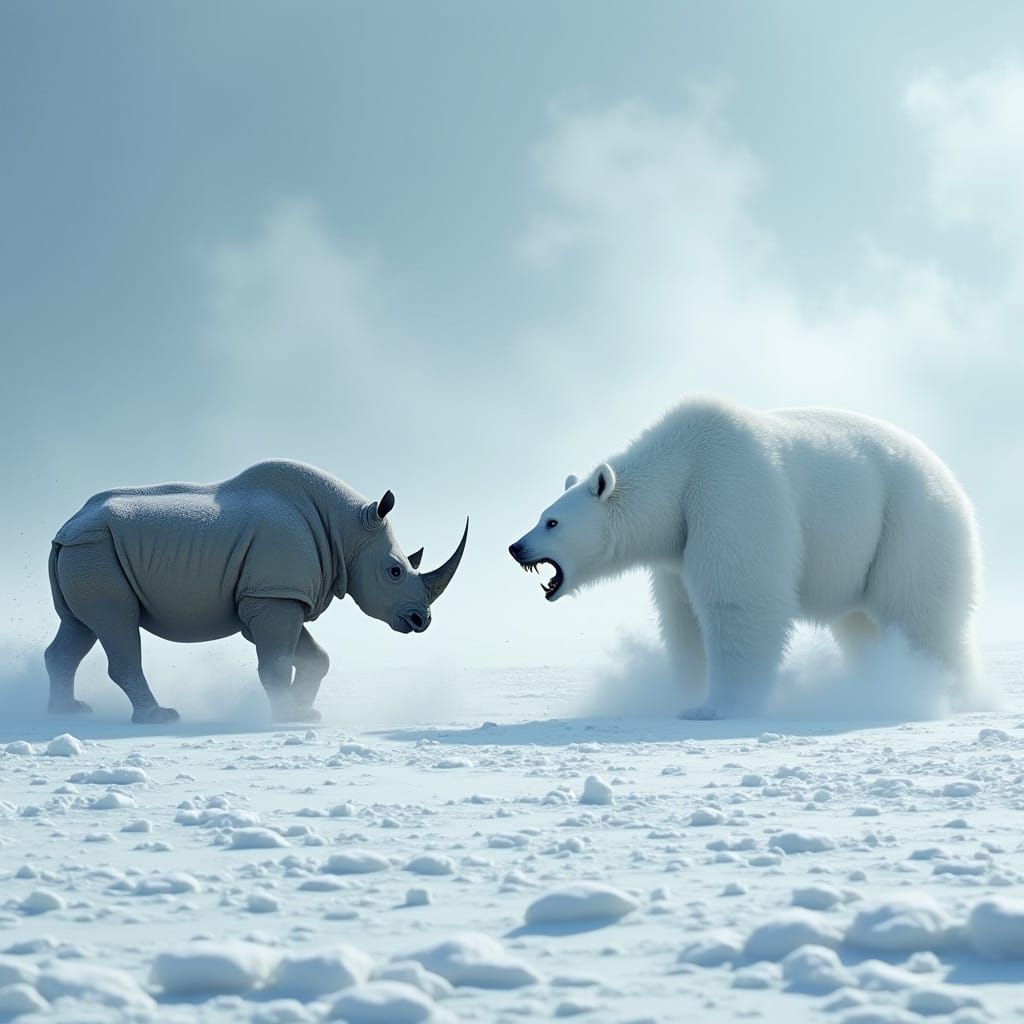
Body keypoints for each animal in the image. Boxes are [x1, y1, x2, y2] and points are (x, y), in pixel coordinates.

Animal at [44, 460, 468, 723]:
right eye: (394, 571)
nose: (422, 620)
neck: (347, 530)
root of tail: (65, 528)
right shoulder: (273, 595)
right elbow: (277, 662)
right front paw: (285, 717)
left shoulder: (278, 595)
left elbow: (315, 657)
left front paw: (305, 713)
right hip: (95, 552)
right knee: (117, 622)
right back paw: (159, 718)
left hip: (85, 554)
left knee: (81, 627)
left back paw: (69, 712)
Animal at [509, 396, 981, 718]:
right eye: (542, 515)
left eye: (551, 522)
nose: (516, 547)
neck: (681, 466)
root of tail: (953, 484)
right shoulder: (677, 547)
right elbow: (681, 618)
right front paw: (682, 692)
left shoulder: (729, 494)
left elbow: (738, 601)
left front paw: (718, 707)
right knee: (860, 625)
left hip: (908, 524)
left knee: (916, 614)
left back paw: (939, 690)